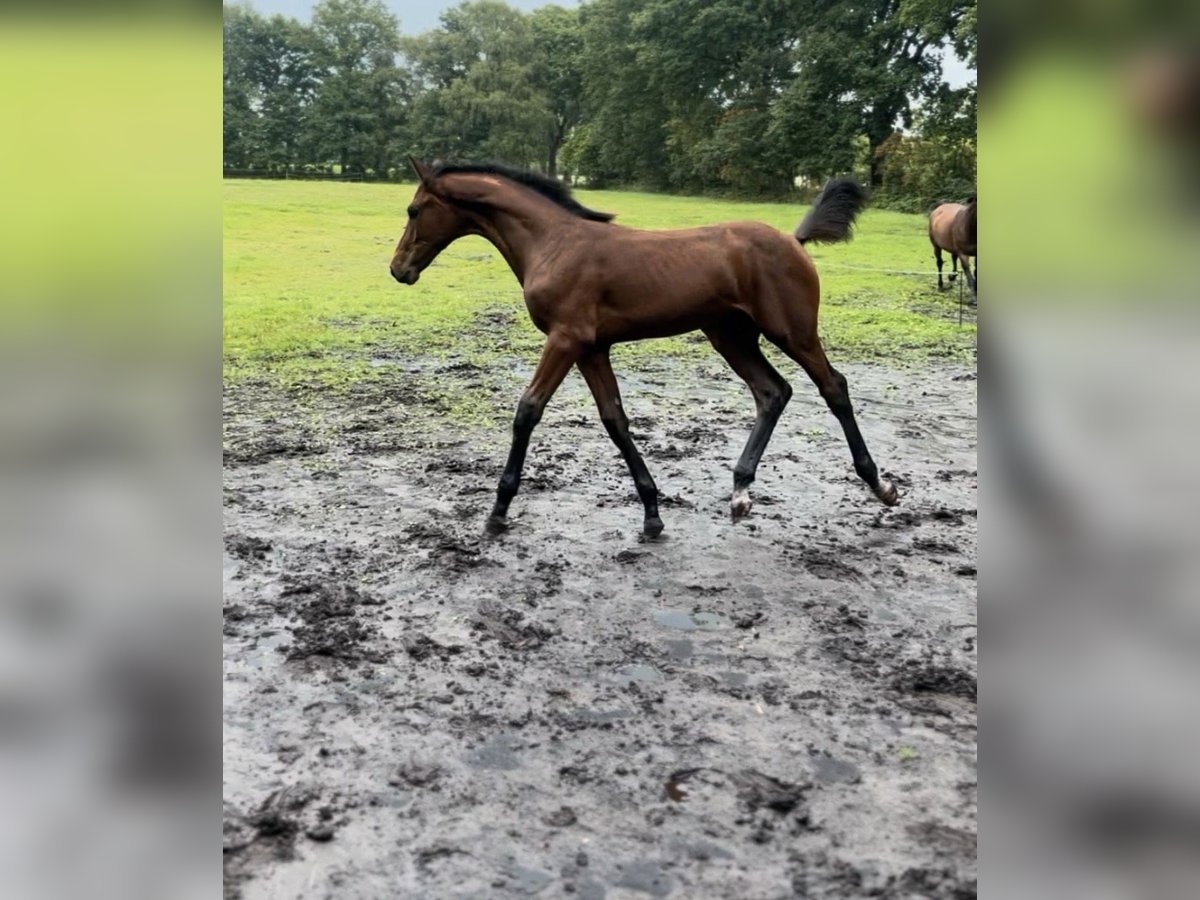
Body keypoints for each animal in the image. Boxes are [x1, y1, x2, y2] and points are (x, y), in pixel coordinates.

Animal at [388, 159, 897, 540]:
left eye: (413, 210)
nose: (398, 270)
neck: (553, 243)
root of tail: (793, 240)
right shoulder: (591, 349)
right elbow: (615, 420)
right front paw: (652, 512)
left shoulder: (565, 339)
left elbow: (528, 410)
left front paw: (498, 510)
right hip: (730, 336)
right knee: (772, 392)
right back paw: (740, 492)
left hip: (791, 331)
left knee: (833, 387)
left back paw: (881, 486)